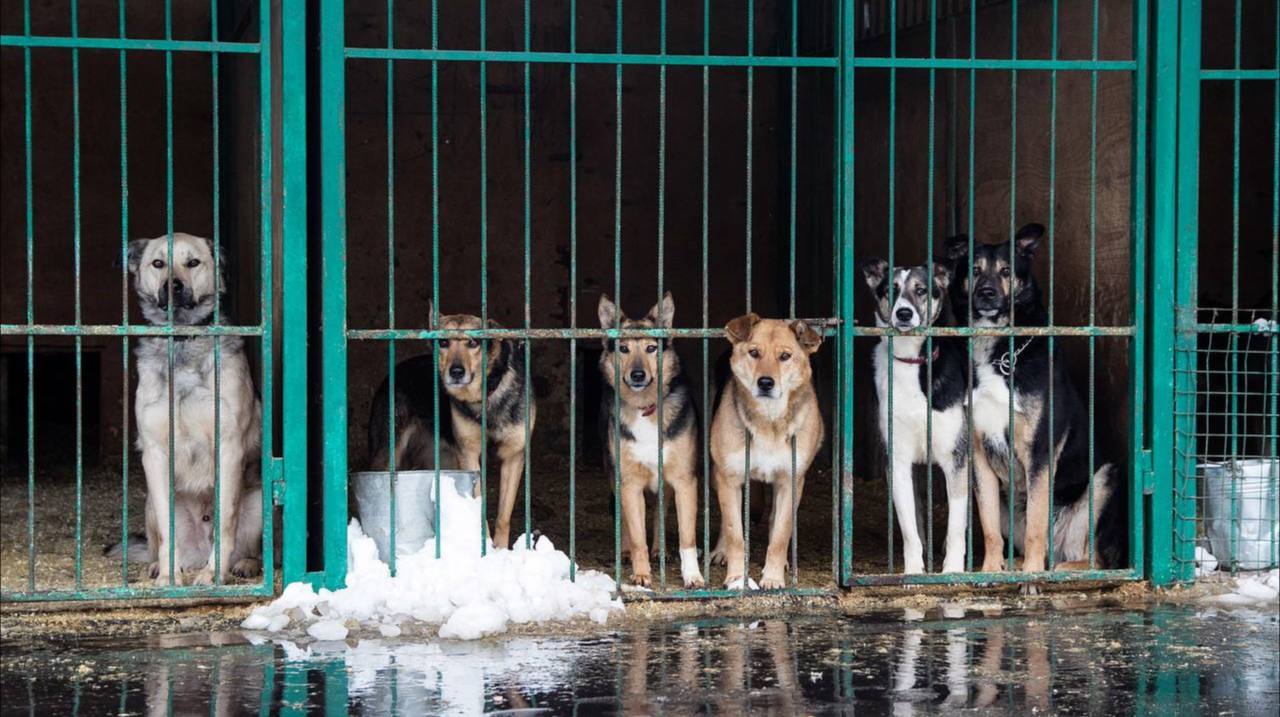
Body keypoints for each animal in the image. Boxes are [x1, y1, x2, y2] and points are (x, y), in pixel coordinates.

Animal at [368, 307, 537, 547]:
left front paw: (500, 549)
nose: (456, 372)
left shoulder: (513, 455)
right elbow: (479, 506)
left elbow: (504, 515)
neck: (484, 397)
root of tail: (396, 371)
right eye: (444, 342)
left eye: (473, 343)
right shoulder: (469, 456)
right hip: (388, 453)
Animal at [596, 291, 706, 588]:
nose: (637, 375)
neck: (645, 408)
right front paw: (641, 574)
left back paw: (660, 550)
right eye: (624, 349)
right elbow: (636, 536)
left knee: (660, 511)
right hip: (614, 477)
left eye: (650, 348)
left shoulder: (684, 481)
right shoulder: (630, 483)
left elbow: (687, 537)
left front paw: (693, 575)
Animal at [706, 313, 824, 588]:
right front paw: (737, 578)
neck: (768, 420)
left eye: (785, 356)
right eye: (754, 353)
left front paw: (773, 577)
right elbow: (735, 532)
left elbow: (780, 535)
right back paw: (720, 551)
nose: (766, 383)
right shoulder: (729, 478)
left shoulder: (791, 481)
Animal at [860, 259, 967, 573]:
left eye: (921, 290)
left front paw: (952, 570)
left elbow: (956, 526)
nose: (904, 313)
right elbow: (910, 527)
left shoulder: (956, 458)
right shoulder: (898, 462)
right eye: (891, 290)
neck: (911, 361)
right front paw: (913, 569)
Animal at [947, 225, 1126, 588]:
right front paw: (990, 570)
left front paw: (1031, 578)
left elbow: (1035, 528)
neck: (999, 354)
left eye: (1005, 270)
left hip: (1104, 480)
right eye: (974, 270)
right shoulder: (980, 456)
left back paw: (1052, 570)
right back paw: (1014, 565)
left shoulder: (1039, 453)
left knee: (1095, 562)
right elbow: (989, 526)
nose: (987, 294)